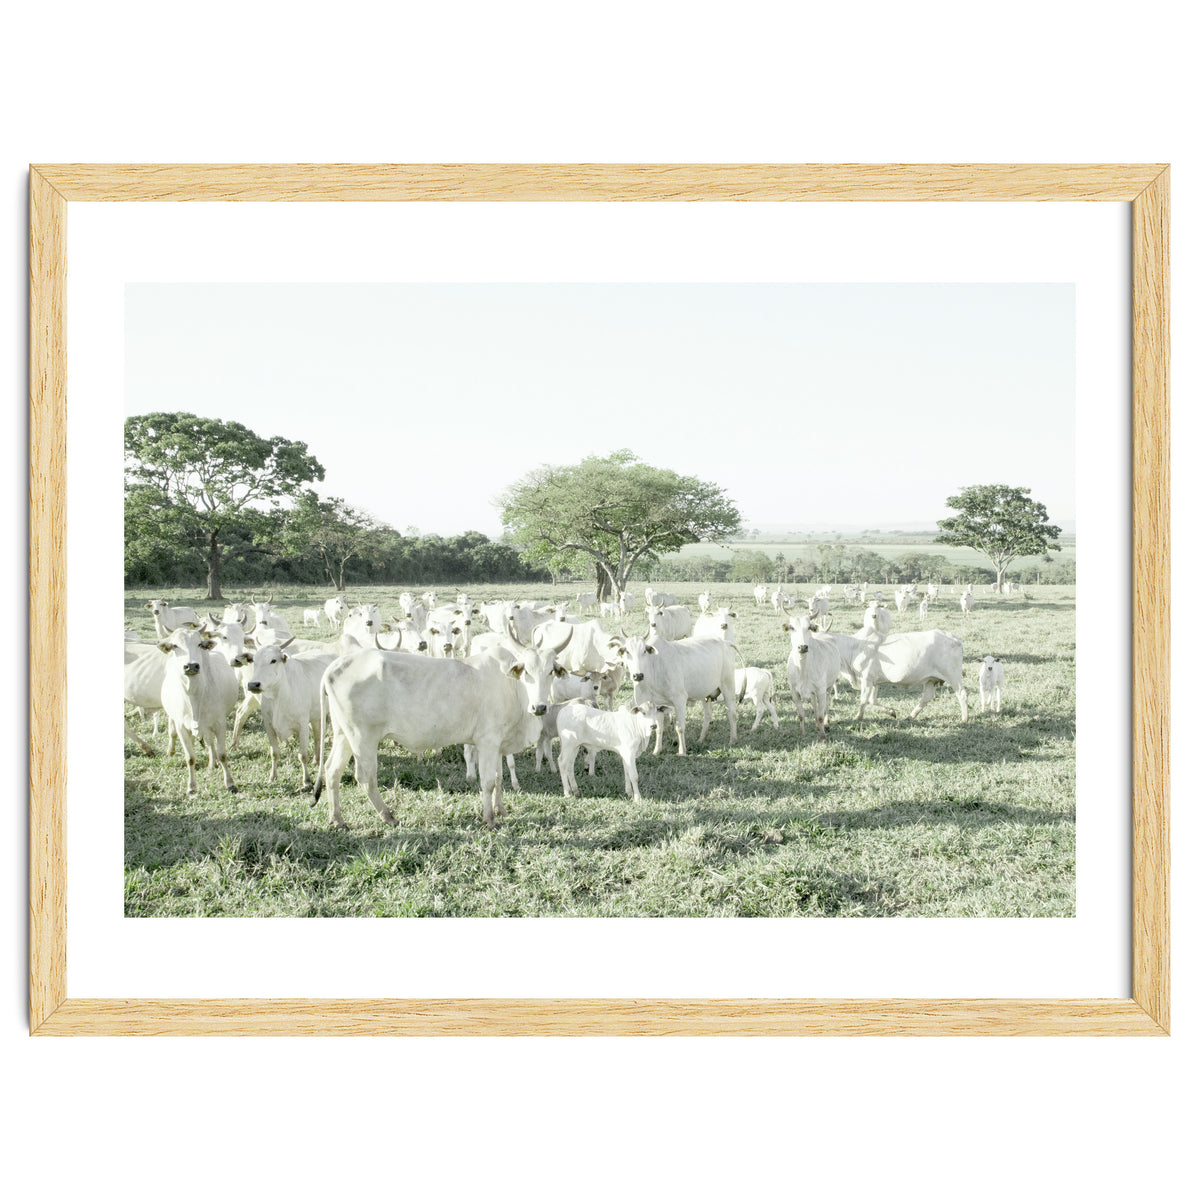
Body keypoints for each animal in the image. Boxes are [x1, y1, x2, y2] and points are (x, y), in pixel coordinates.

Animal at [158, 626, 240, 793]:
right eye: (175, 645)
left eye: (200, 644)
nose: (191, 666)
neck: (195, 696)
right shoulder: (181, 726)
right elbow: (190, 757)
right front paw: (191, 787)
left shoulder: (219, 723)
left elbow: (222, 754)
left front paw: (230, 783)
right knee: (176, 733)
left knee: (210, 742)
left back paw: (213, 762)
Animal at [313, 643, 560, 829]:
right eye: (526, 671)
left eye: (551, 671)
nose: (539, 707)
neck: (512, 687)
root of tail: (336, 665)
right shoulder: (487, 741)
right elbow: (488, 781)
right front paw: (489, 819)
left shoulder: (498, 743)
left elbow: (499, 778)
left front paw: (501, 810)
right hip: (363, 737)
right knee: (366, 778)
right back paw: (389, 817)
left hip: (343, 734)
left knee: (332, 770)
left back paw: (337, 820)